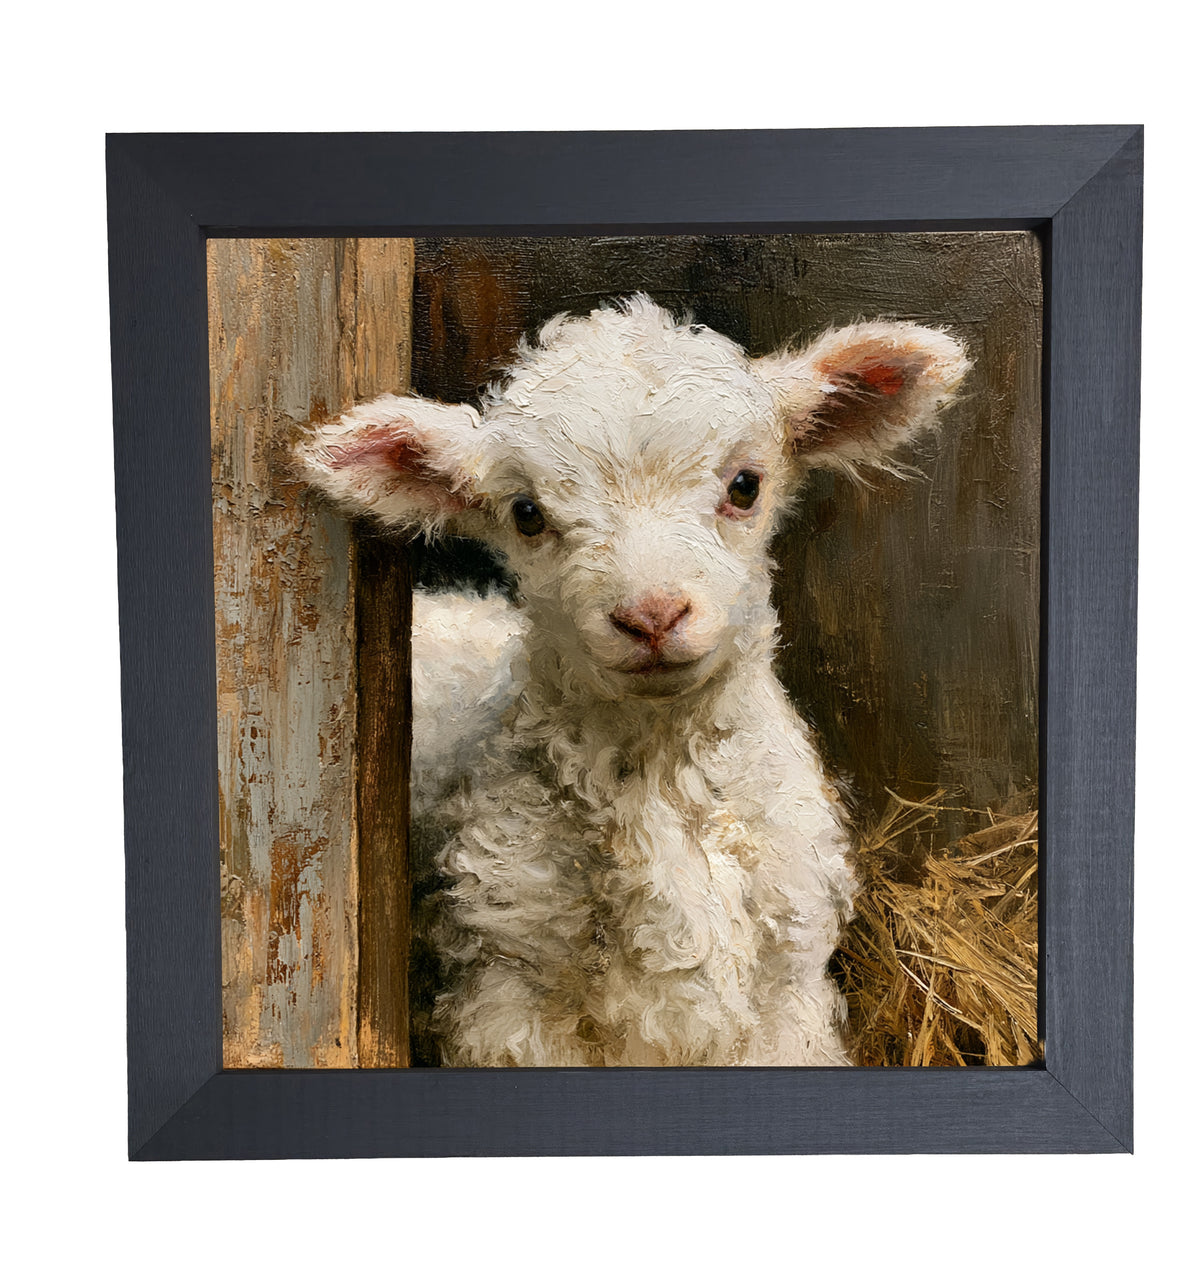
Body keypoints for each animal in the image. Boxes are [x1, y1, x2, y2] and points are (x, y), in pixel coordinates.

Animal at [299, 295, 968, 1067]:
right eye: (526, 513)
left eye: (745, 486)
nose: (651, 615)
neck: (661, 775)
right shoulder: (507, 997)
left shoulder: (787, 995)